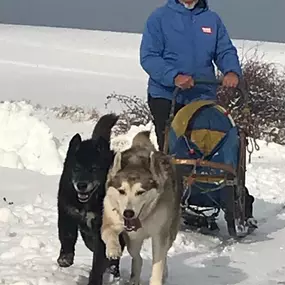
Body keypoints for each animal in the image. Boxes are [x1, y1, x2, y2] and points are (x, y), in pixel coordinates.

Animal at [56, 113, 124, 284]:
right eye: (76, 168)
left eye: (94, 169)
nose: (81, 185)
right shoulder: (66, 214)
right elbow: (66, 237)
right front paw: (65, 259)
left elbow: (99, 261)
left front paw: (95, 279)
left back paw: (114, 269)